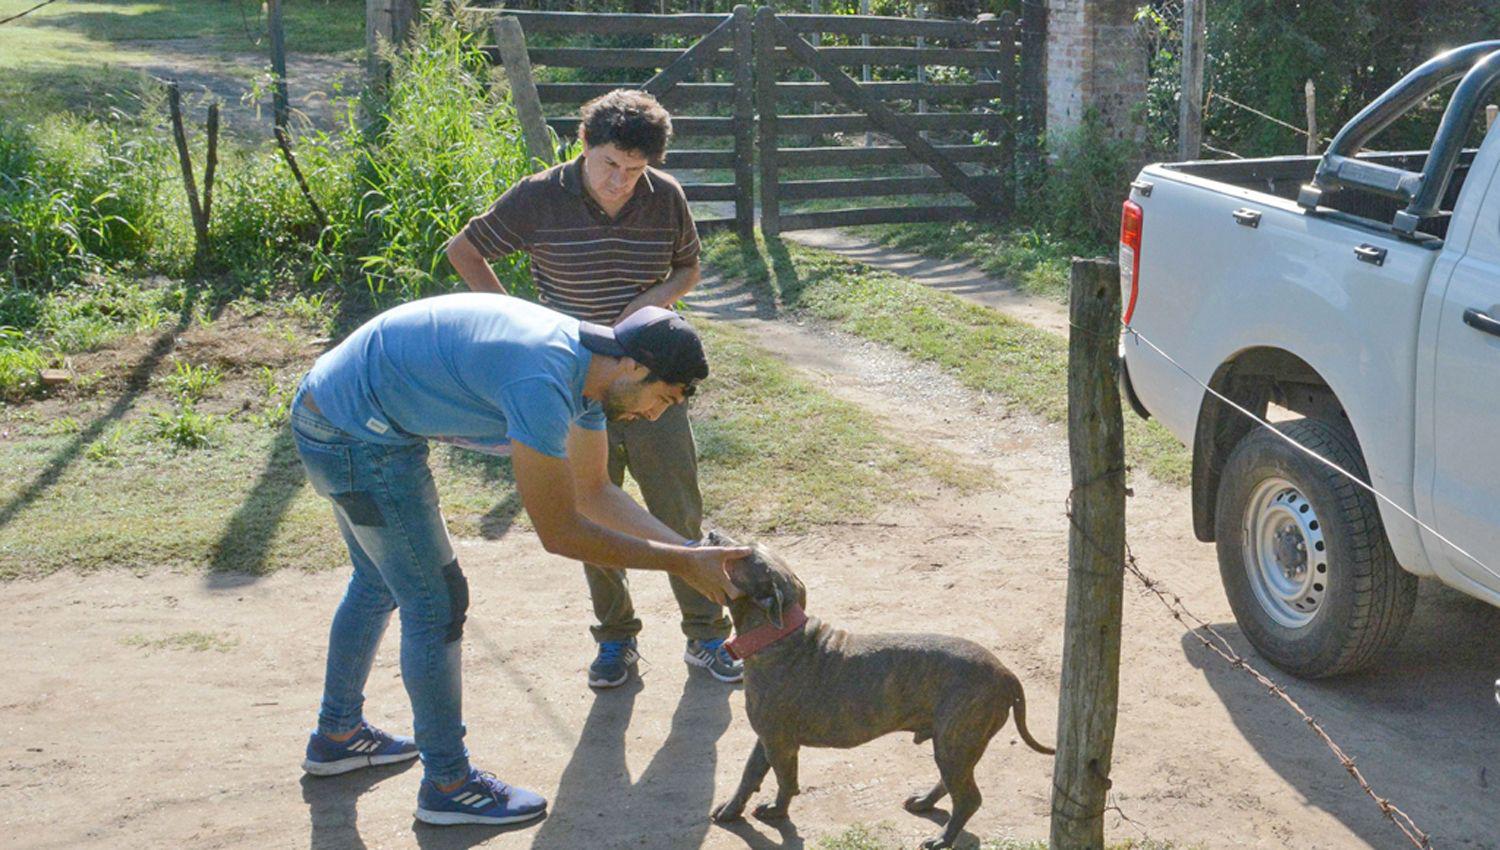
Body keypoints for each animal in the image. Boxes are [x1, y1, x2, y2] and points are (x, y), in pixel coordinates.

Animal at [705, 536, 1050, 845]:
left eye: (742, 554)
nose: (710, 534)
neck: (777, 635)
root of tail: (1006, 674)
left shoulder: (780, 744)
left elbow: (785, 781)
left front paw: (778, 811)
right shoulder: (767, 738)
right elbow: (751, 774)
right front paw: (733, 810)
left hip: (956, 743)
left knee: (968, 799)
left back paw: (942, 839)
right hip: (955, 746)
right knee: (952, 785)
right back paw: (924, 802)